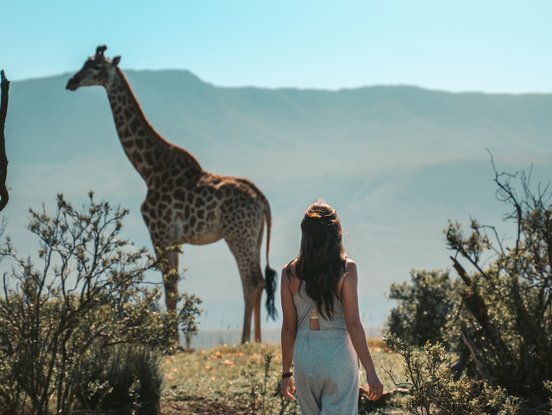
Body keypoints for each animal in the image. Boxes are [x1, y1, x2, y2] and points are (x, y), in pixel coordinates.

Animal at [66, 45, 276, 344]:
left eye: (96, 67)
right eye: (84, 64)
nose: (71, 82)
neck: (148, 168)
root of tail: (262, 199)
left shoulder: (159, 231)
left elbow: (169, 289)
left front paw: (170, 344)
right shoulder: (175, 238)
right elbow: (174, 287)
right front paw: (172, 341)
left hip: (238, 234)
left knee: (251, 280)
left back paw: (245, 340)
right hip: (254, 236)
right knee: (258, 280)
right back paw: (257, 340)